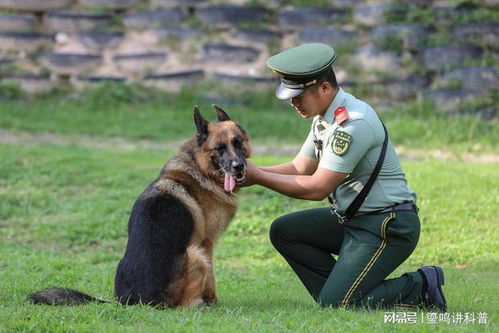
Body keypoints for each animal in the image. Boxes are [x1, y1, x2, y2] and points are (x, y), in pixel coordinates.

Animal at [29, 105, 252, 308]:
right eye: (219, 148)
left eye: (238, 143)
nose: (239, 167)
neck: (200, 166)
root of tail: (132, 301)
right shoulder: (206, 244)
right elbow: (211, 280)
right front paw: (213, 301)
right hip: (196, 256)